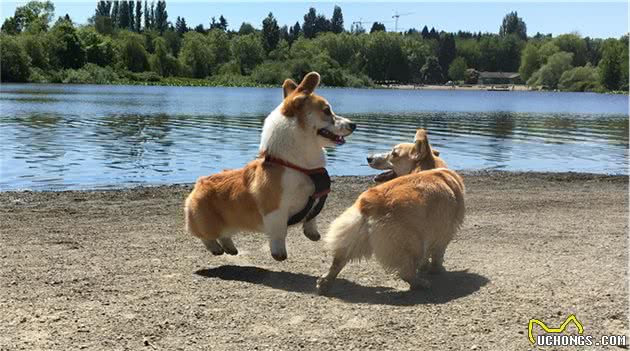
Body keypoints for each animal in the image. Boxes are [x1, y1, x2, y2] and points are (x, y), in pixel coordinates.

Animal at [186, 72, 356, 262]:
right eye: (327, 111)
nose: (354, 125)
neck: (298, 165)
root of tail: (198, 185)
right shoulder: (276, 211)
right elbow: (279, 234)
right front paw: (279, 254)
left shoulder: (315, 200)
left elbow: (312, 217)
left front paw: (313, 234)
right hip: (207, 224)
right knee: (204, 236)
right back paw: (215, 248)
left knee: (225, 235)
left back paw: (230, 248)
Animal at [318, 129, 466, 294]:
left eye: (394, 153)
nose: (369, 158)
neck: (429, 167)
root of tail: (369, 200)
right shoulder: (444, 232)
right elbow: (437, 254)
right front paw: (436, 269)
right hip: (412, 243)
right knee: (406, 272)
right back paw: (420, 283)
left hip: (352, 235)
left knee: (338, 261)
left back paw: (324, 283)